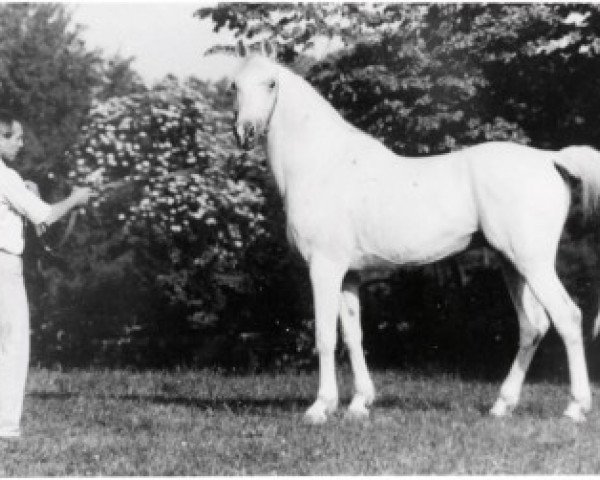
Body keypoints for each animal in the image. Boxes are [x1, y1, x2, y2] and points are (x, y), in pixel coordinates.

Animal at [230, 42, 600, 424]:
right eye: (234, 86)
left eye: (271, 83)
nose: (245, 132)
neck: (323, 164)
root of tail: (549, 159)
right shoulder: (349, 275)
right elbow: (353, 336)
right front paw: (359, 403)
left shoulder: (324, 268)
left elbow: (325, 337)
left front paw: (321, 407)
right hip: (512, 264)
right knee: (533, 327)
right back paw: (502, 405)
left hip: (533, 263)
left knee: (568, 318)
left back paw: (575, 408)